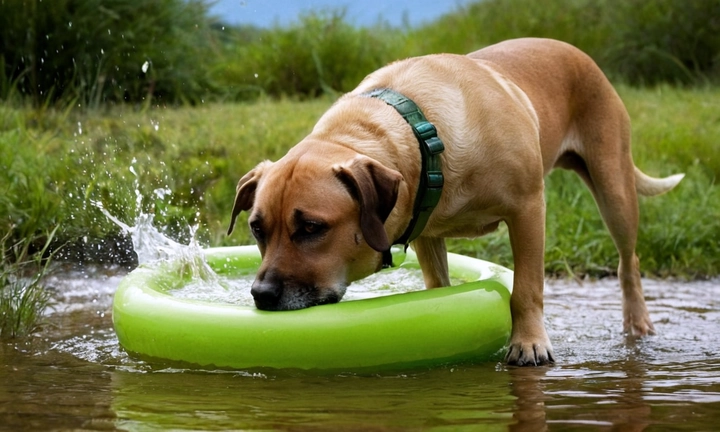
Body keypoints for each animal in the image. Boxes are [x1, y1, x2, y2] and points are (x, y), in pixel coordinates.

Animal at [228, 38, 684, 366]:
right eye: (256, 228)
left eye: (311, 228)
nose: (261, 294)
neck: (416, 131)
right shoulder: (424, 227)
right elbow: (439, 290)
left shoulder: (528, 209)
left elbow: (527, 288)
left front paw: (529, 342)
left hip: (613, 184)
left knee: (628, 261)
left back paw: (638, 323)